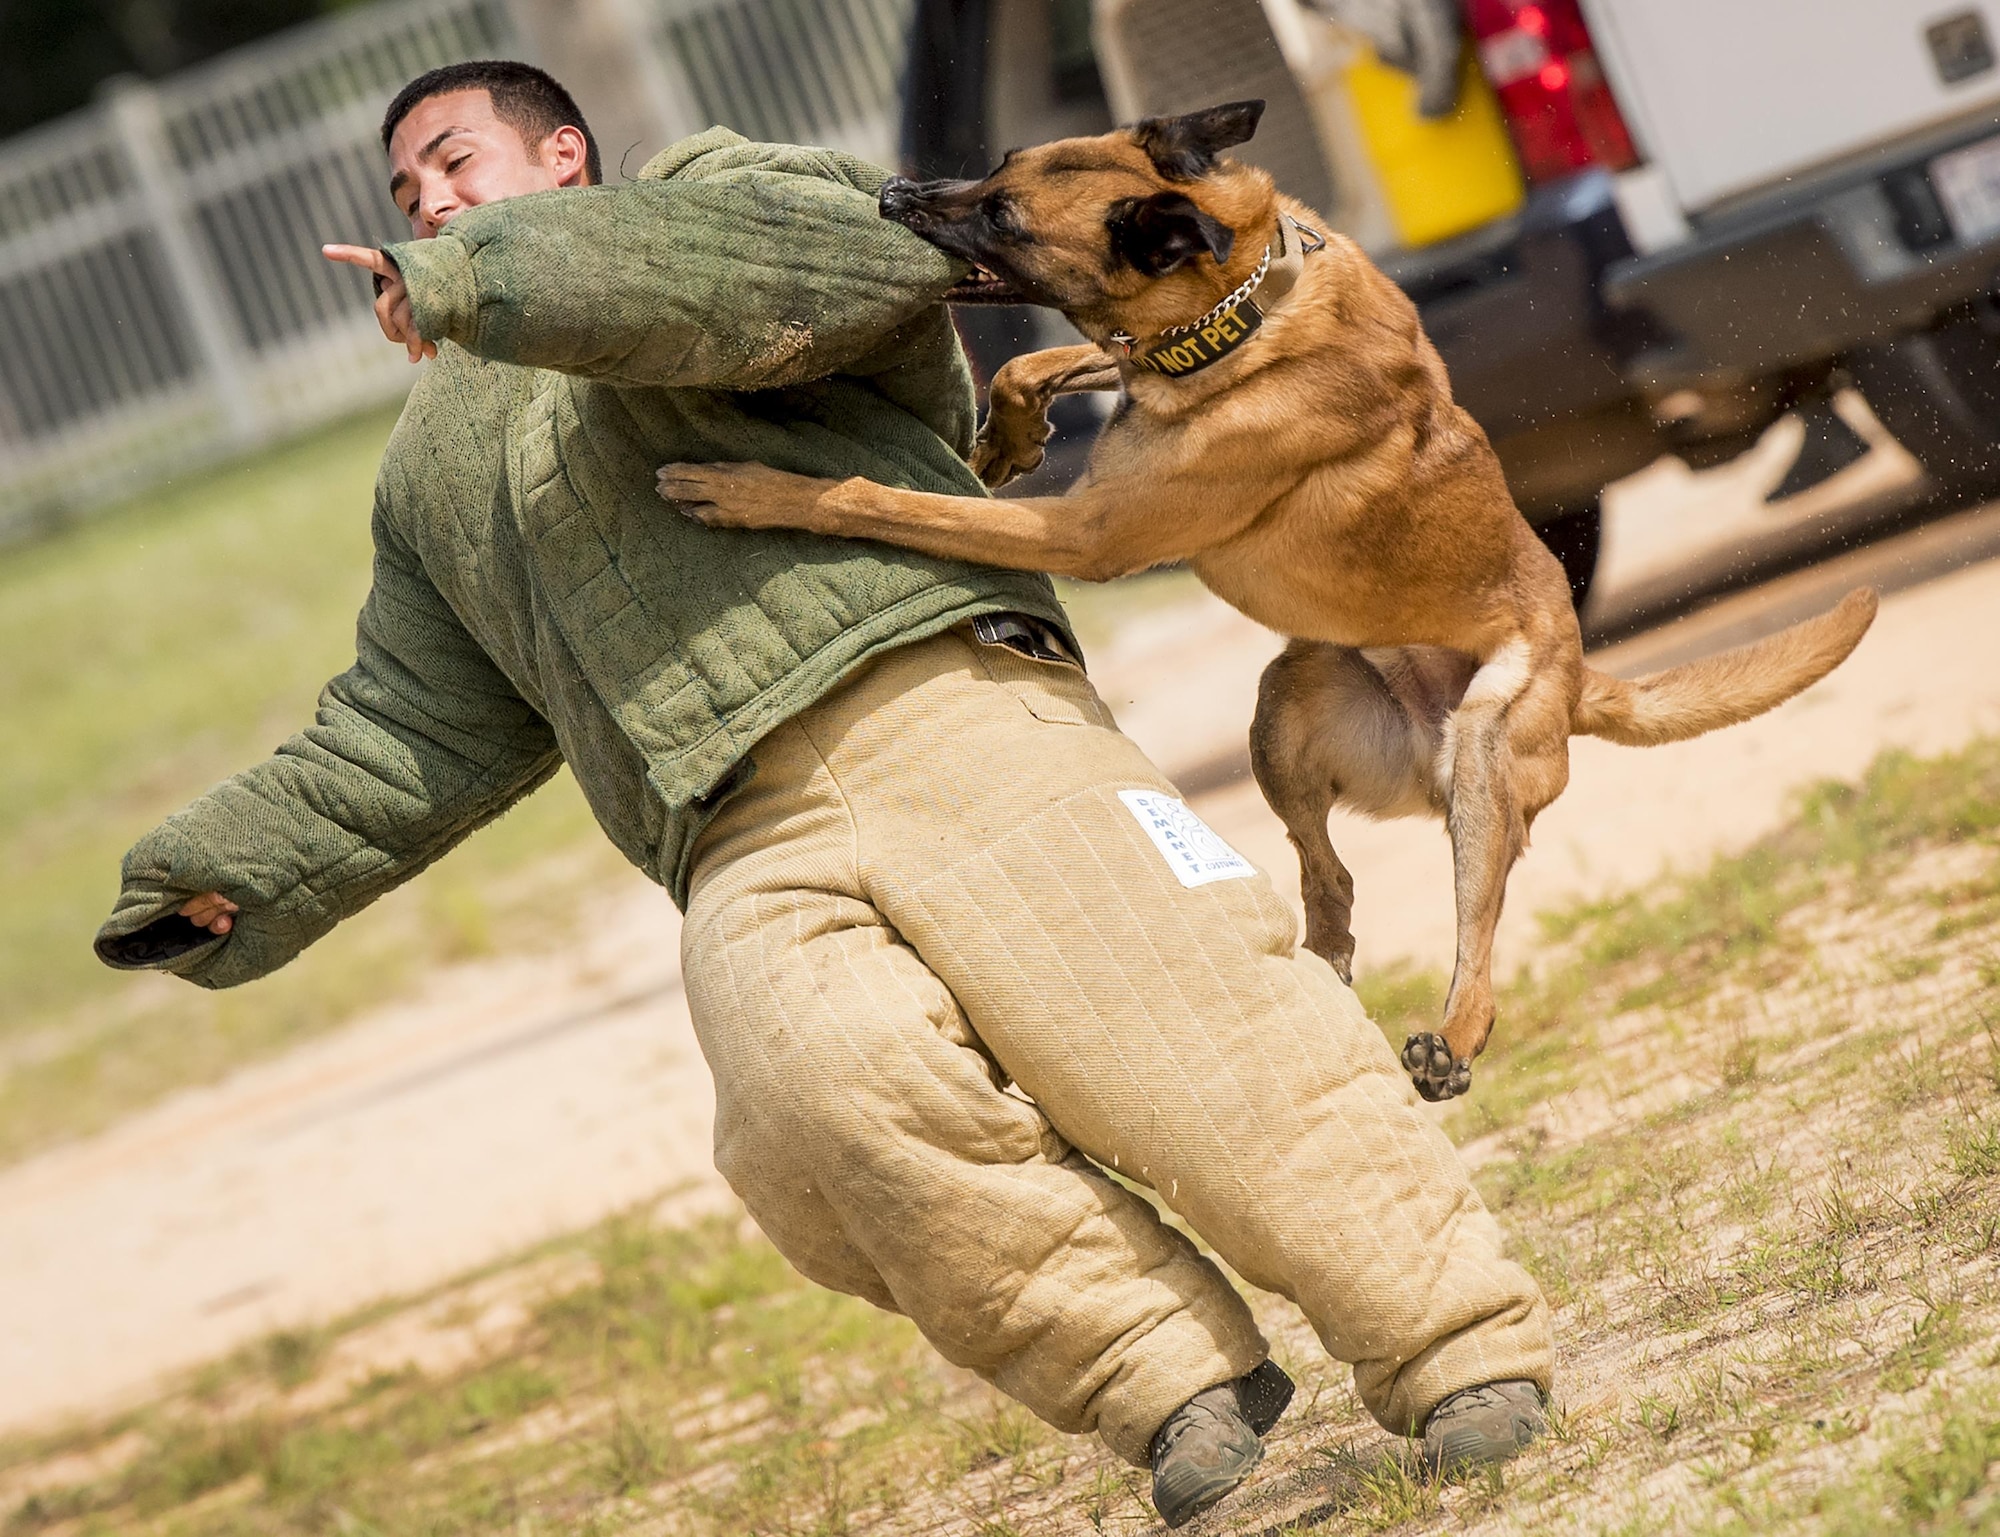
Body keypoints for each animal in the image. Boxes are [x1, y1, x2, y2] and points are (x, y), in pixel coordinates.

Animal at [664, 99, 1880, 1104]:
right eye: (996, 163)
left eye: (1002, 214)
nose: (894, 194)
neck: (1240, 298)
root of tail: (1583, 672)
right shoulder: (1130, 388)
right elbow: (1042, 363)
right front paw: (1006, 433)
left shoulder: (1082, 534)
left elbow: (879, 496)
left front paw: (753, 489)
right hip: (1287, 703)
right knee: (1327, 876)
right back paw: (1326, 950)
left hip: (1483, 759)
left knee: (1474, 942)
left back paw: (1451, 1041)